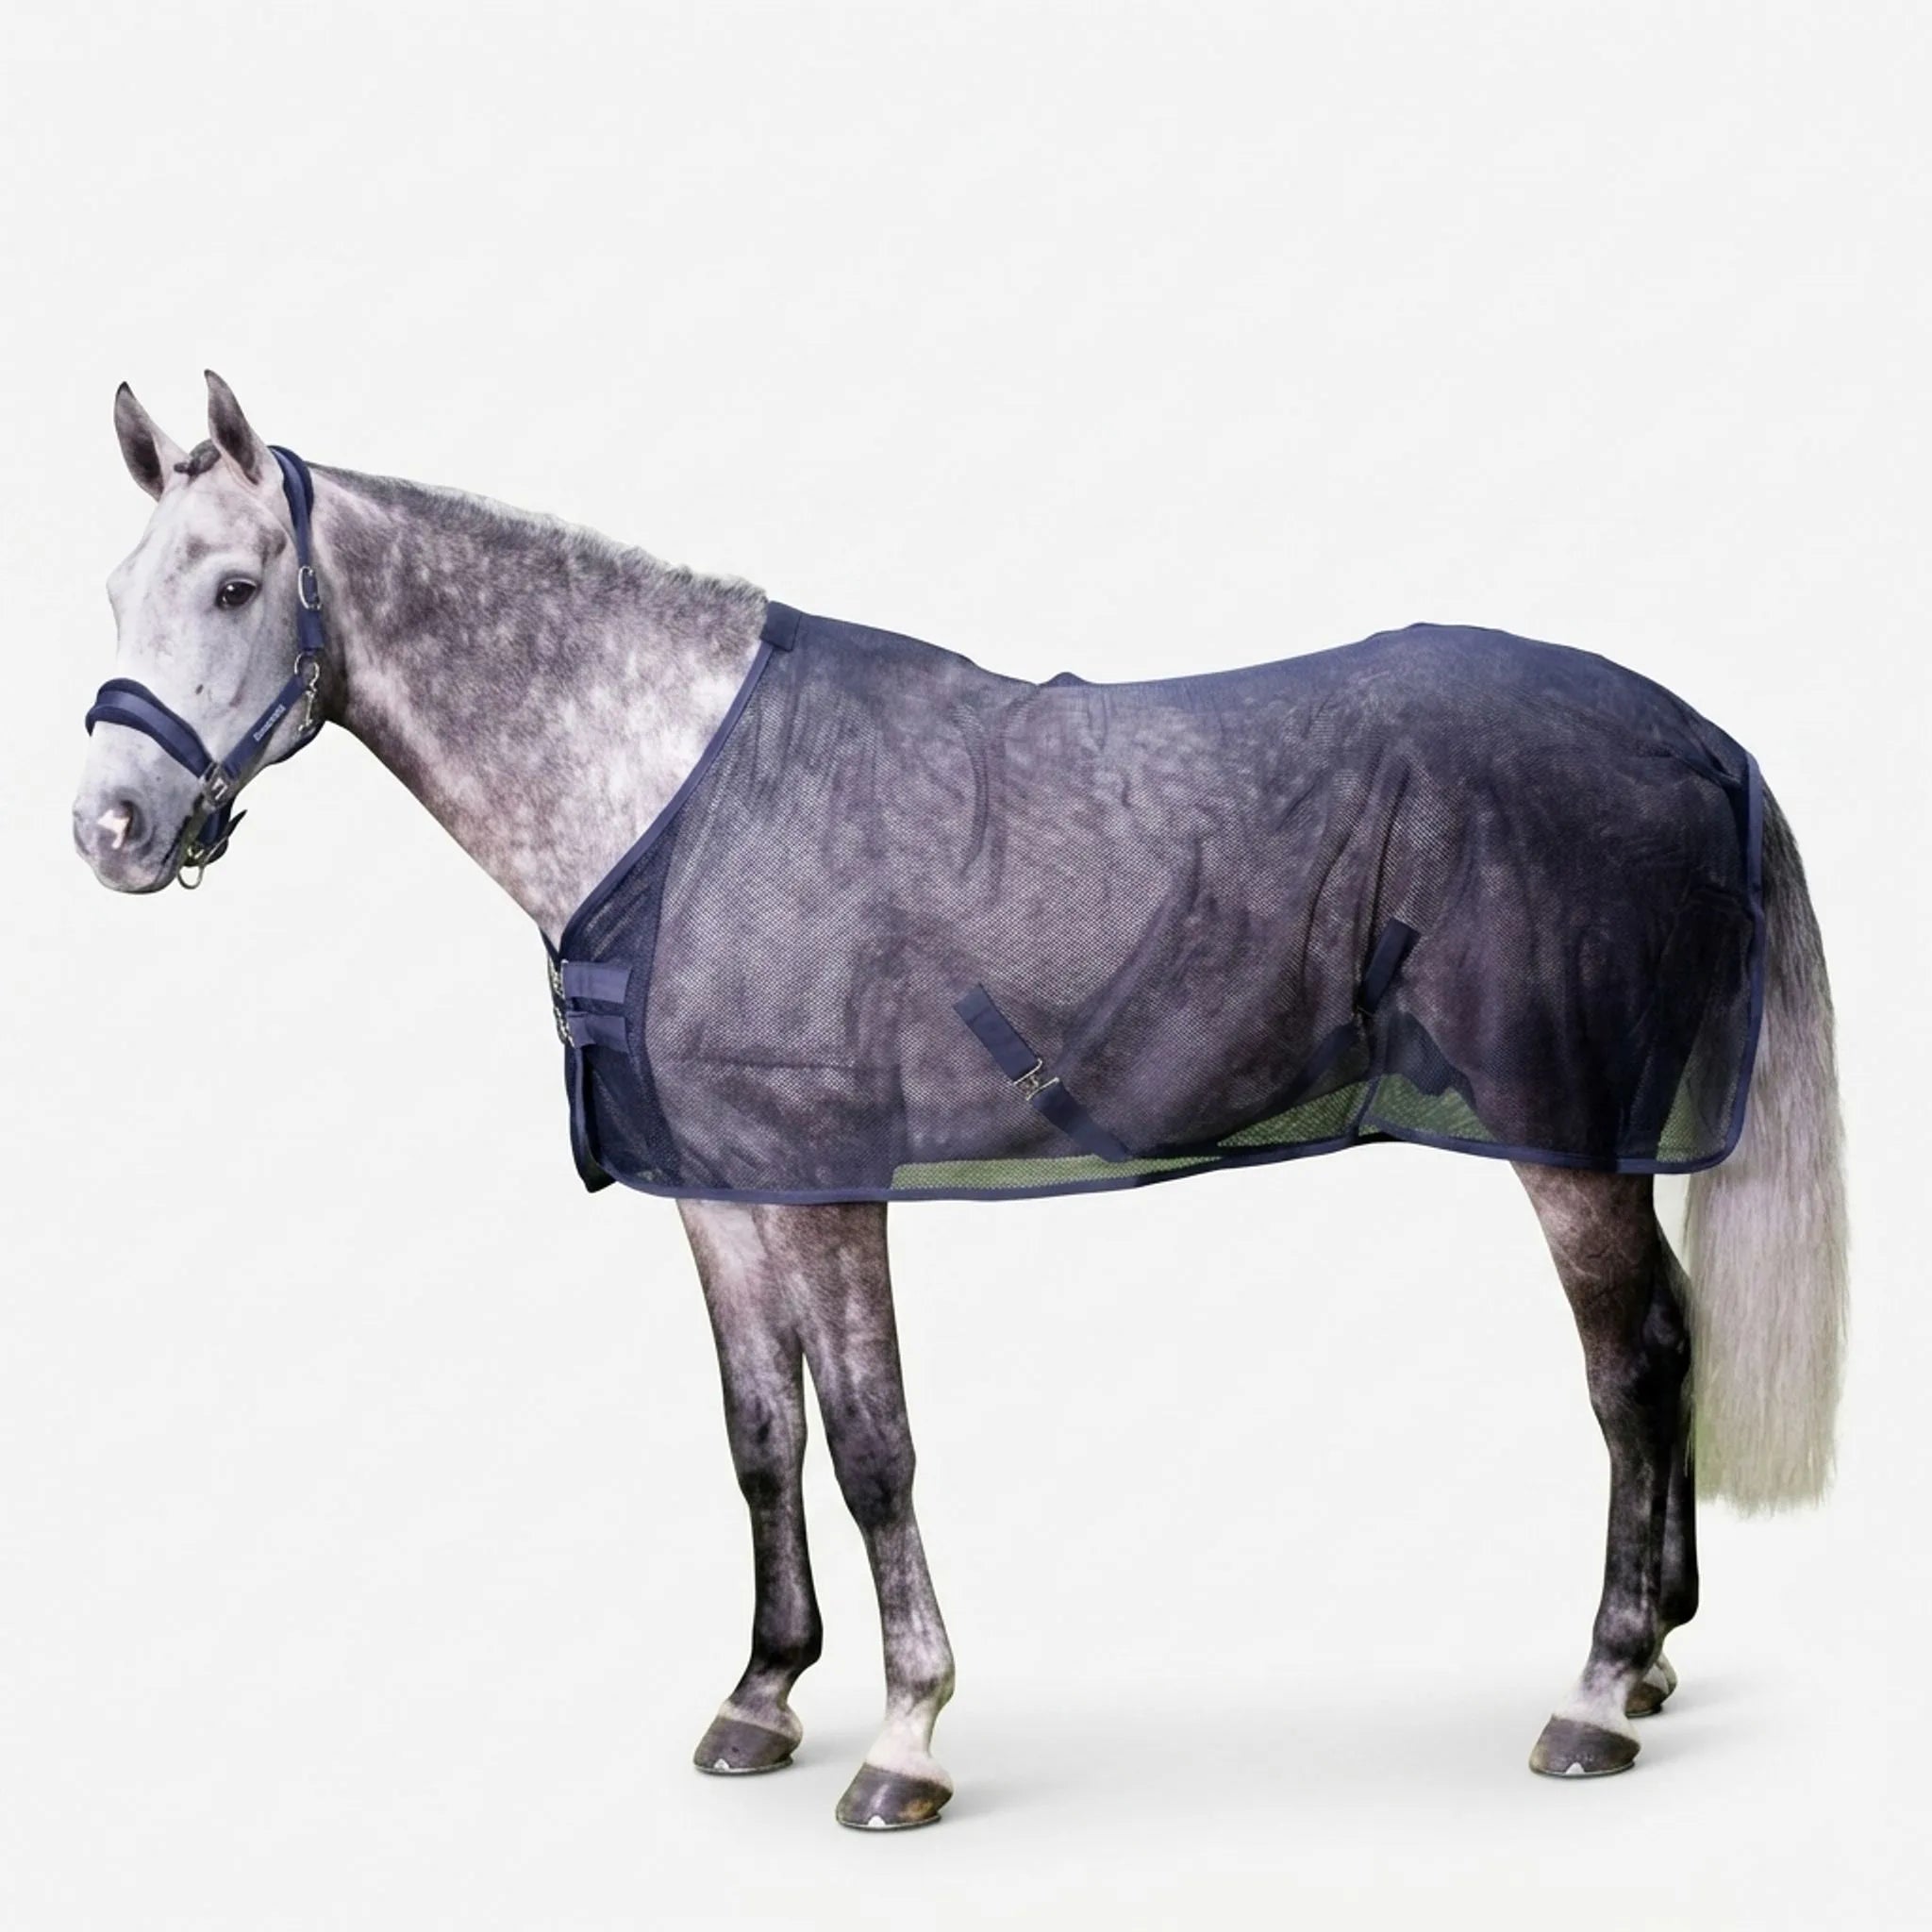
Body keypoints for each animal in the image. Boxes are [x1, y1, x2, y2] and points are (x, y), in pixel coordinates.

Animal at [71, 373, 1847, 1830]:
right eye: (111, 585)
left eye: (235, 585)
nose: (107, 828)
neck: (676, 796)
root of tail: (1701, 740)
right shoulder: (721, 1196)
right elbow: (761, 1437)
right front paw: (761, 1697)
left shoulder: (829, 1183)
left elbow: (871, 1445)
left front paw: (904, 1737)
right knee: (1672, 1340)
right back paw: (1656, 1656)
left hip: (1564, 1139)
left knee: (1631, 1365)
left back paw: (1596, 1693)